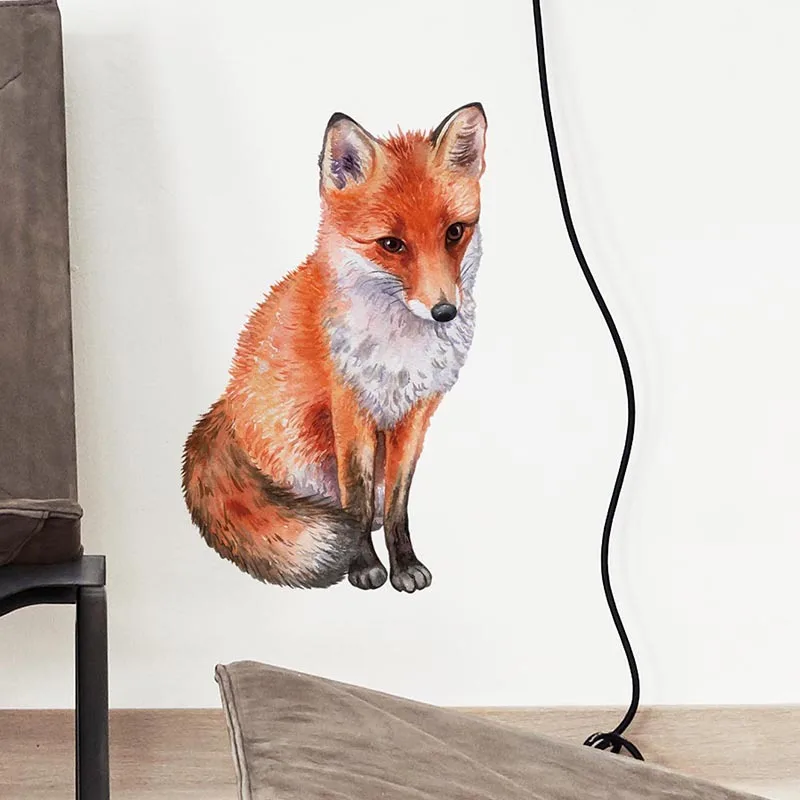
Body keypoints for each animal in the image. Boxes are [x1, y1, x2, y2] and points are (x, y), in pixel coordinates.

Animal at [182, 103, 487, 593]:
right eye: (391, 244)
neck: (399, 354)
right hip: (301, 446)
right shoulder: (348, 407)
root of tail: (224, 409)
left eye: (454, 233)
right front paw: (362, 564)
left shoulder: (415, 415)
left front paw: (404, 563)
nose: (444, 311)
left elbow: (398, 503)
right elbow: (355, 500)